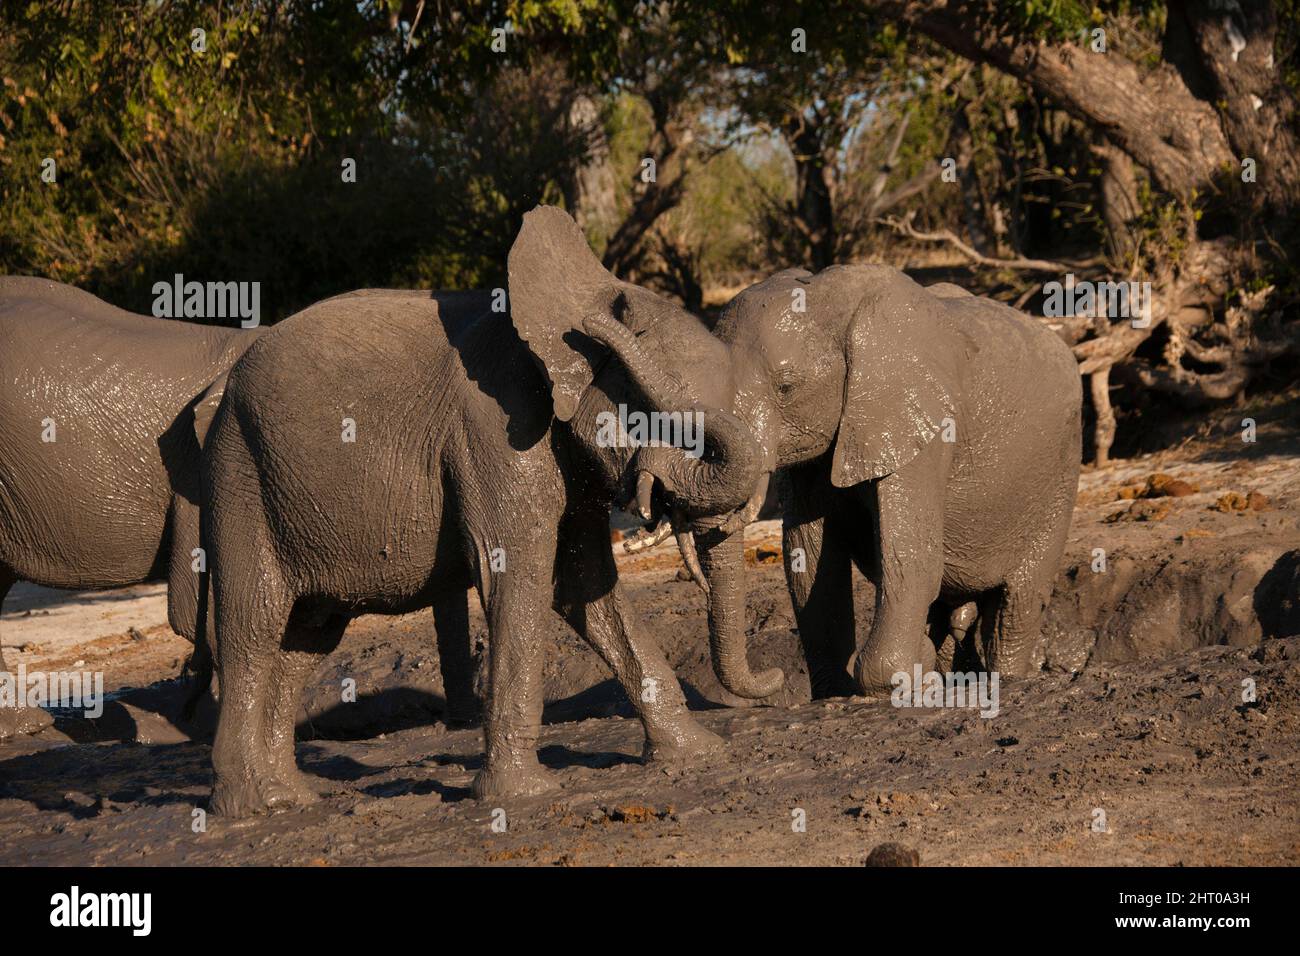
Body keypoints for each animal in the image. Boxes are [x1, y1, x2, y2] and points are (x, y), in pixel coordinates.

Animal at [201, 205, 762, 816]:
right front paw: (524, 796)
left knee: (307, 636)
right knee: (253, 626)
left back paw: (290, 798)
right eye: (659, 419)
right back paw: (248, 807)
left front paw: (698, 754)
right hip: (239, 474)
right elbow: (518, 578)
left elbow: (585, 583)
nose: (775, 680)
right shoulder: (496, 430)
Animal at [682, 264, 1081, 700]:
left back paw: (1002, 677)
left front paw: (898, 682)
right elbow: (809, 557)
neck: (829, 297)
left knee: (1019, 602)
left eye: (787, 387)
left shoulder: (921, 421)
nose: (774, 676)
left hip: (1061, 468)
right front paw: (835, 692)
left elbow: (911, 554)